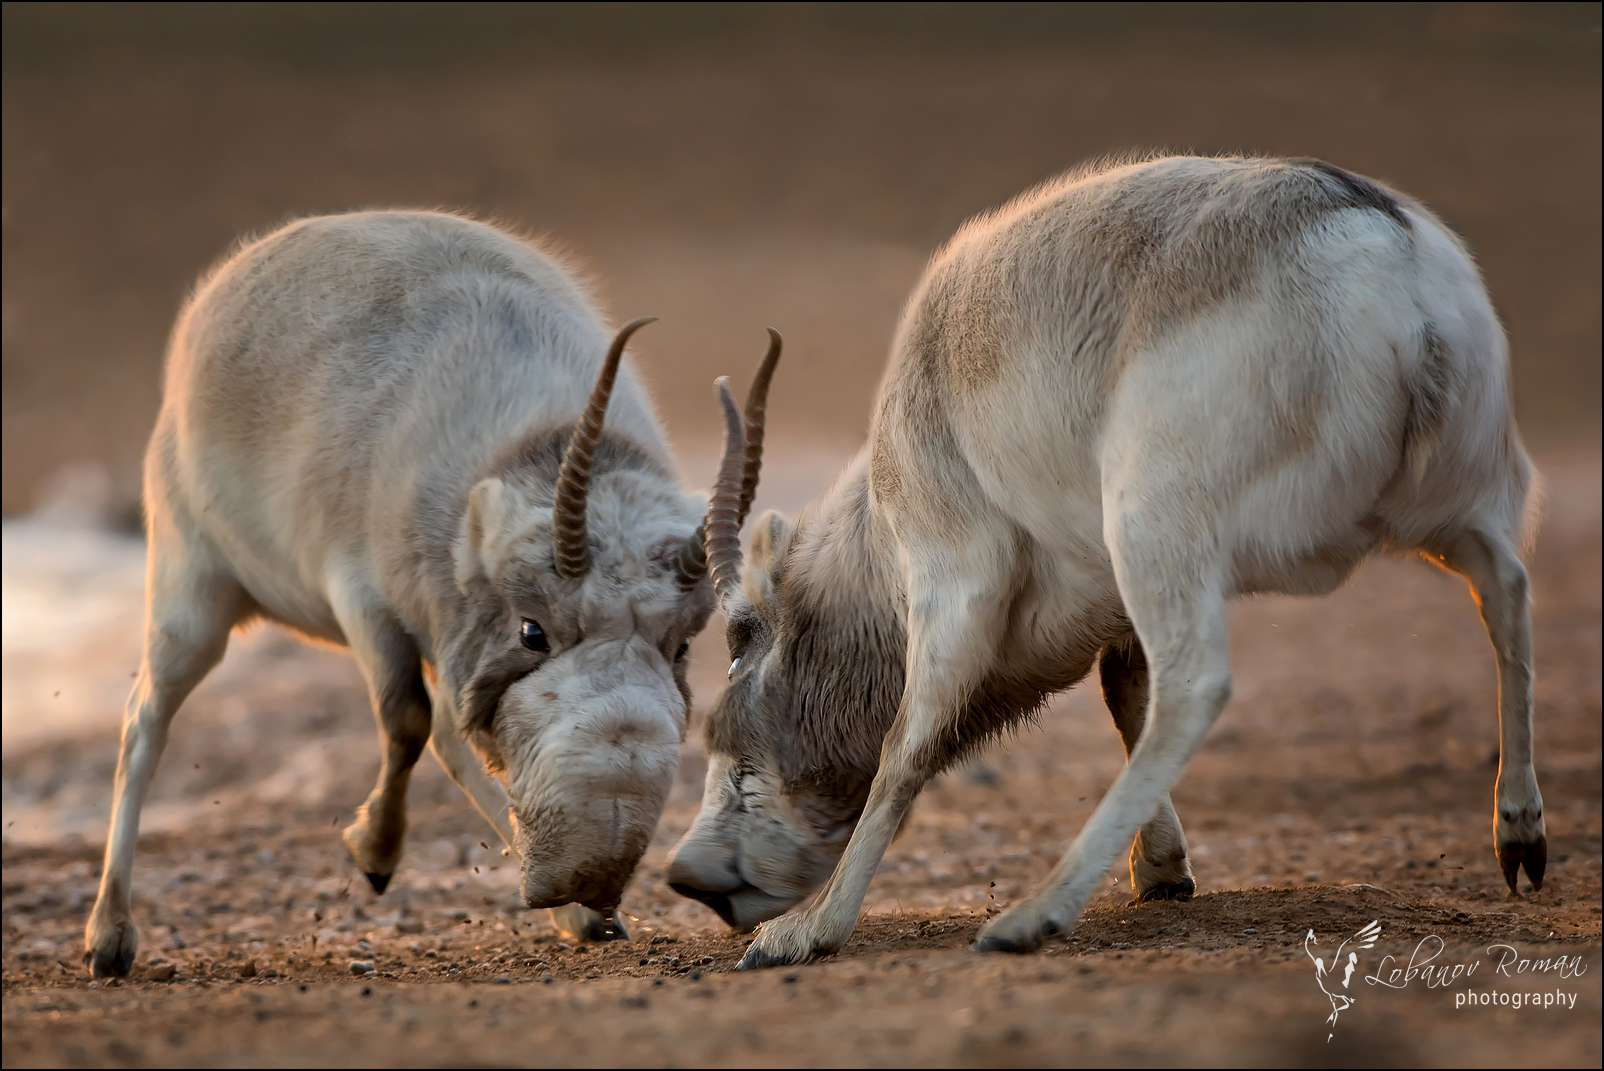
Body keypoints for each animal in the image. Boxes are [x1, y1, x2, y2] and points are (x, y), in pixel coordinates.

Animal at [81, 208, 769, 981]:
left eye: (681, 645)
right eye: (533, 630)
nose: (595, 870)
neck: (528, 447)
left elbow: (435, 726)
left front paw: (583, 912)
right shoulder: (363, 599)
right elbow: (403, 717)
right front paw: (371, 853)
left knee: (445, 728)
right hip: (190, 587)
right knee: (145, 718)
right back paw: (109, 934)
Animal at [660, 154, 1539, 968]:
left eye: (741, 633)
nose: (689, 878)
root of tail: (1383, 239)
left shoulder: (954, 579)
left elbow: (906, 746)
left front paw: (806, 932)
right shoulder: (1106, 604)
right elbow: (1123, 688)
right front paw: (1163, 871)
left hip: (1155, 524)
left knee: (1196, 684)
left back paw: (1031, 915)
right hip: (1453, 505)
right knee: (1504, 589)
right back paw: (1521, 837)